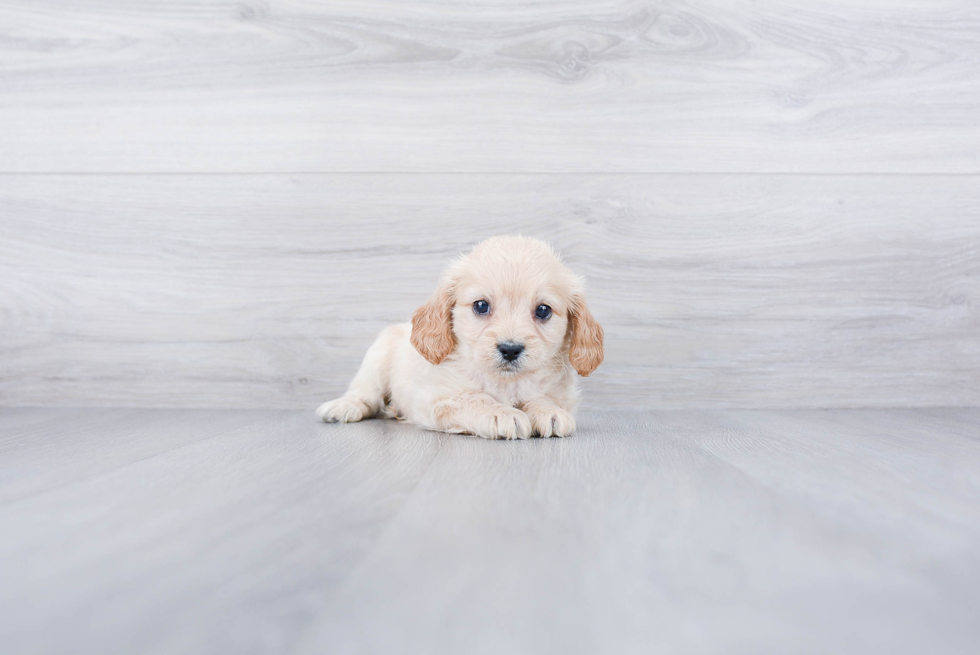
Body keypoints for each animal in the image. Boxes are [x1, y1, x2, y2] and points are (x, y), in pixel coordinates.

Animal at [318, 236, 600, 440]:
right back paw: (343, 407)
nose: (510, 349)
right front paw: (502, 413)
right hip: (377, 356)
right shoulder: (436, 399)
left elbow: (543, 397)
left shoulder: (561, 394)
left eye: (543, 310)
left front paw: (549, 412)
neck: (506, 383)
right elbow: (474, 399)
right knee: (364, 393)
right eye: (481, 306)